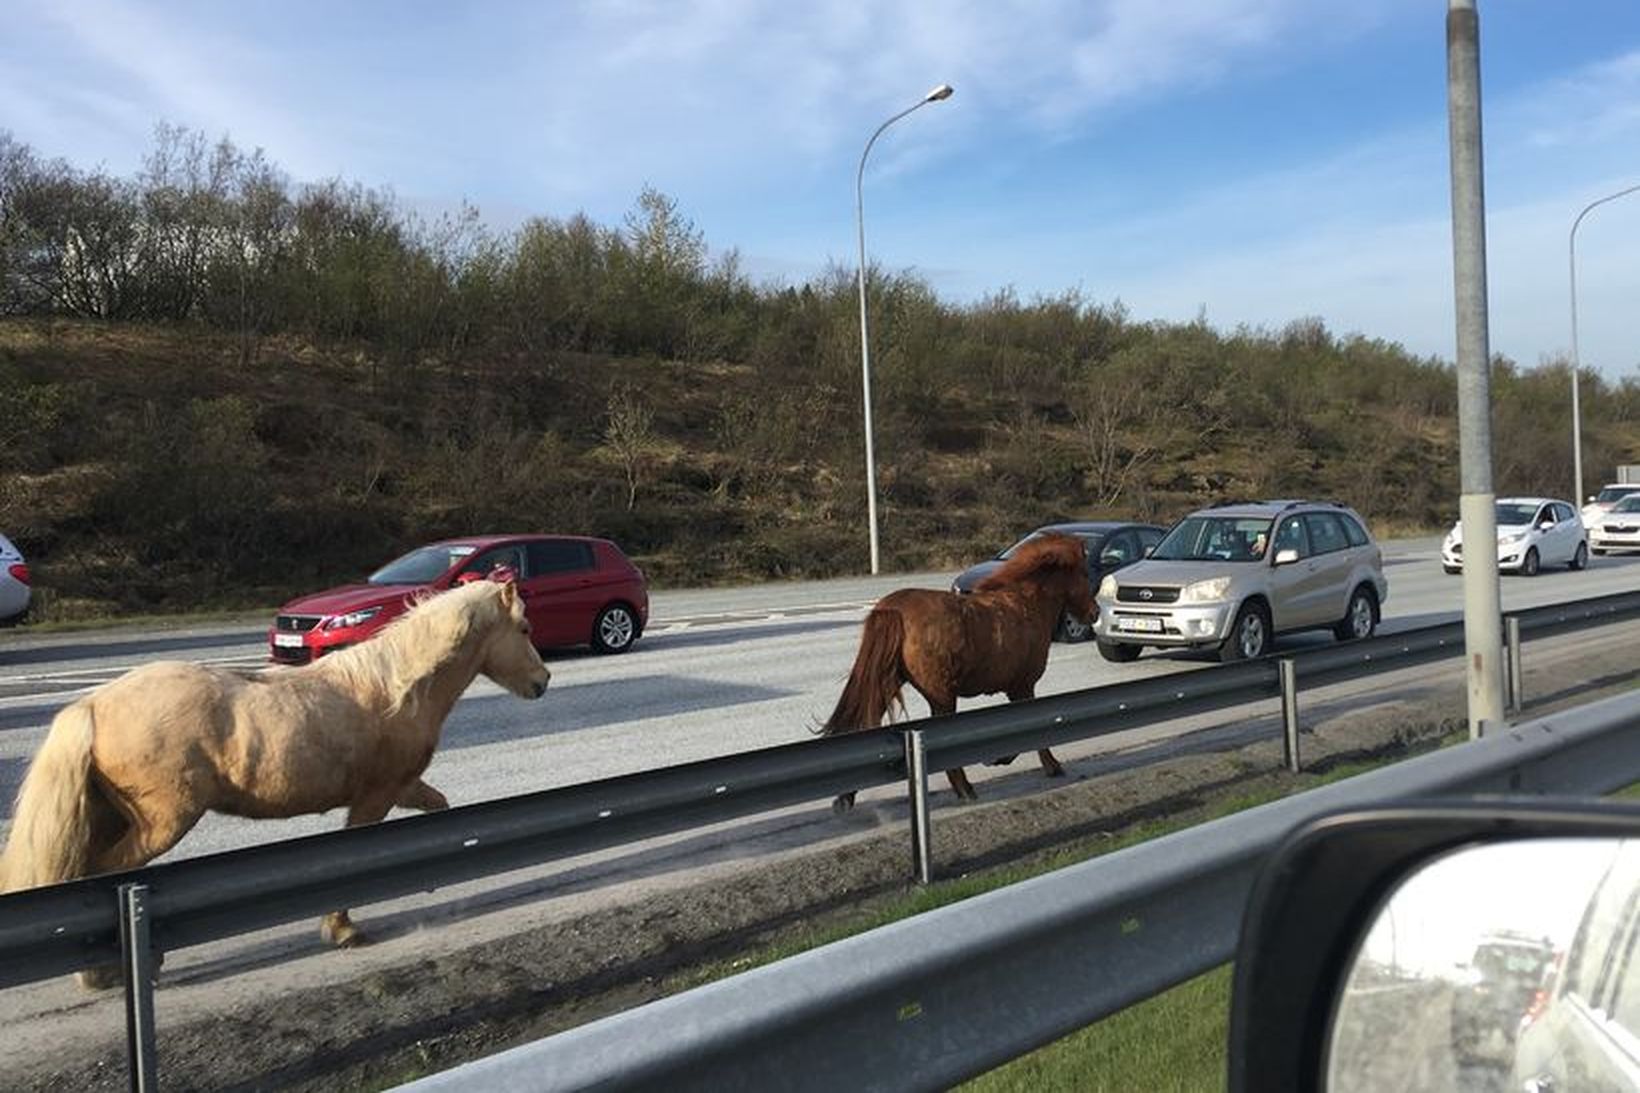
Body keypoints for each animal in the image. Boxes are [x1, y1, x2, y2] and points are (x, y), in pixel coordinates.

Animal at [826, 531, 1095, 804]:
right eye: (1084, 573)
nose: (1094, 613)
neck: (1026, 604)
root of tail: (893, 609)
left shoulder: (1018, 688)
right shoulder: (1022, 686)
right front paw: (1043, 764)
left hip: (889, 683)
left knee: (866, 722)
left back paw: (847, 796)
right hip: (940, 694)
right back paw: (964, 788)